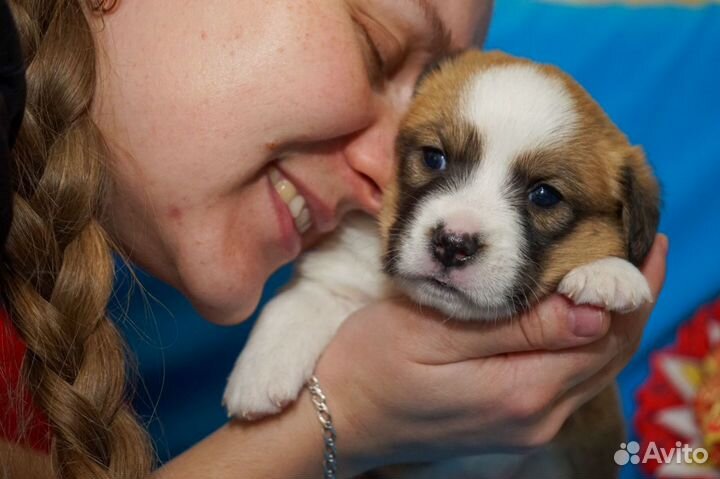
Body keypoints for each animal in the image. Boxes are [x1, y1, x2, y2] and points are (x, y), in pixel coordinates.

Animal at [224, 50, 660, 478]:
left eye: (544, 196)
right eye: (434, 158)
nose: (453, 244)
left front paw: (609, 272)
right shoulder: (343, 266)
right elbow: (303, 298)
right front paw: (261, 371)